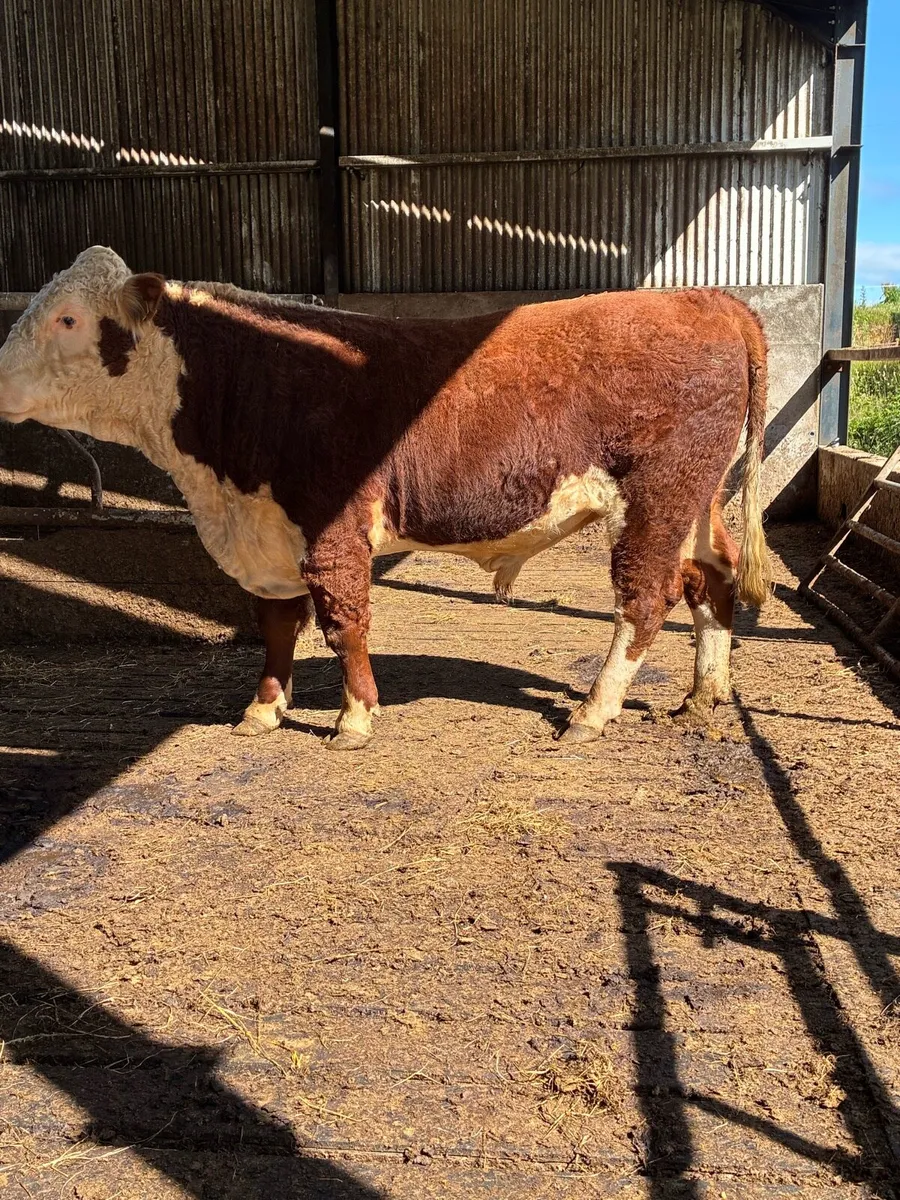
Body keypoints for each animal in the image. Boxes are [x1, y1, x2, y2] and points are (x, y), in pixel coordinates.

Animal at [0, 247, 769, 750]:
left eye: (67, 319)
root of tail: (707, 298)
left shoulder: (331, 528)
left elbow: (345, 624)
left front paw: (355, 720)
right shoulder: (269, 537)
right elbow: (277, 627)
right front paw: (262, 711)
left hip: (656, 494)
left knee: (645, 598)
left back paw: (592, 712)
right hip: (699, 498)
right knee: (713, 577)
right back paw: (704, 693)